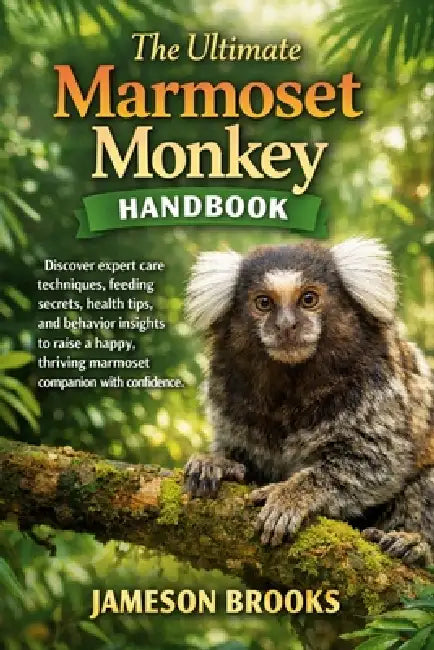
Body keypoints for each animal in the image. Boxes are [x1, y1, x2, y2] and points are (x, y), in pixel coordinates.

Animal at [183, 238, 434, 567]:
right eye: (264, 303)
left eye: (309, 299)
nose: (286, 325)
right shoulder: (227, 388)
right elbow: (245, 456)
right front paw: (218, 463)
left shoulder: (375, 385)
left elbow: (375, 461)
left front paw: (291, 495)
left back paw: (413, 542)